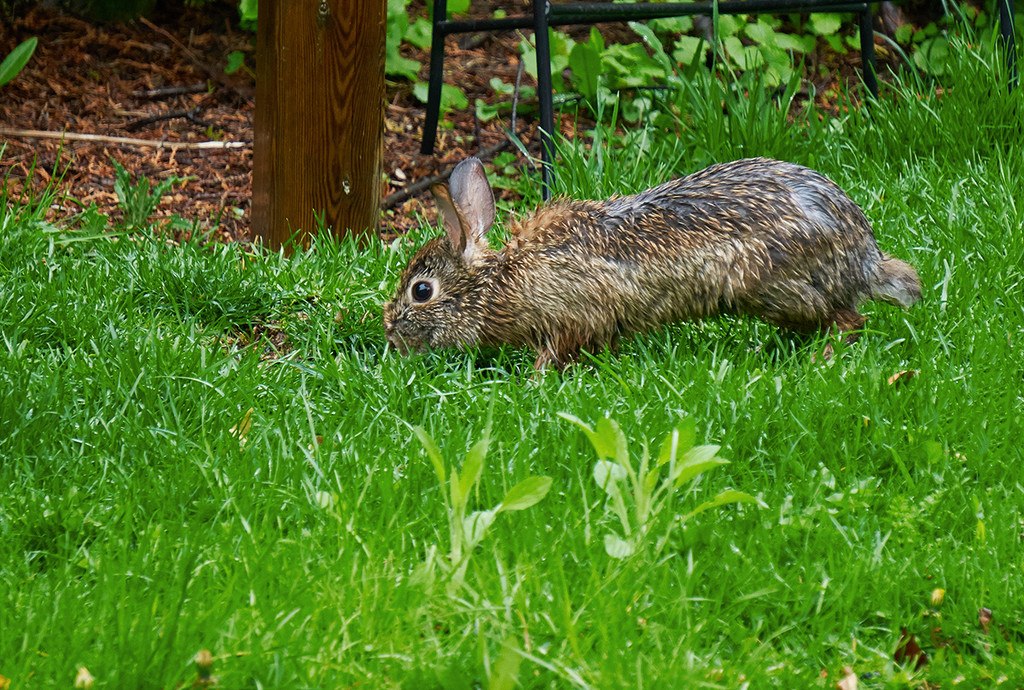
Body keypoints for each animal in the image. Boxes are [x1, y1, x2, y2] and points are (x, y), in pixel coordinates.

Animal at [382, 156, 921, 370]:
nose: (390, 337)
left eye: (421, 291)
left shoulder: (569, 316)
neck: (497, 283)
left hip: (771, 285)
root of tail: (861, 254)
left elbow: (553, 355)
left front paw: (533, 384)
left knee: (848, 320)